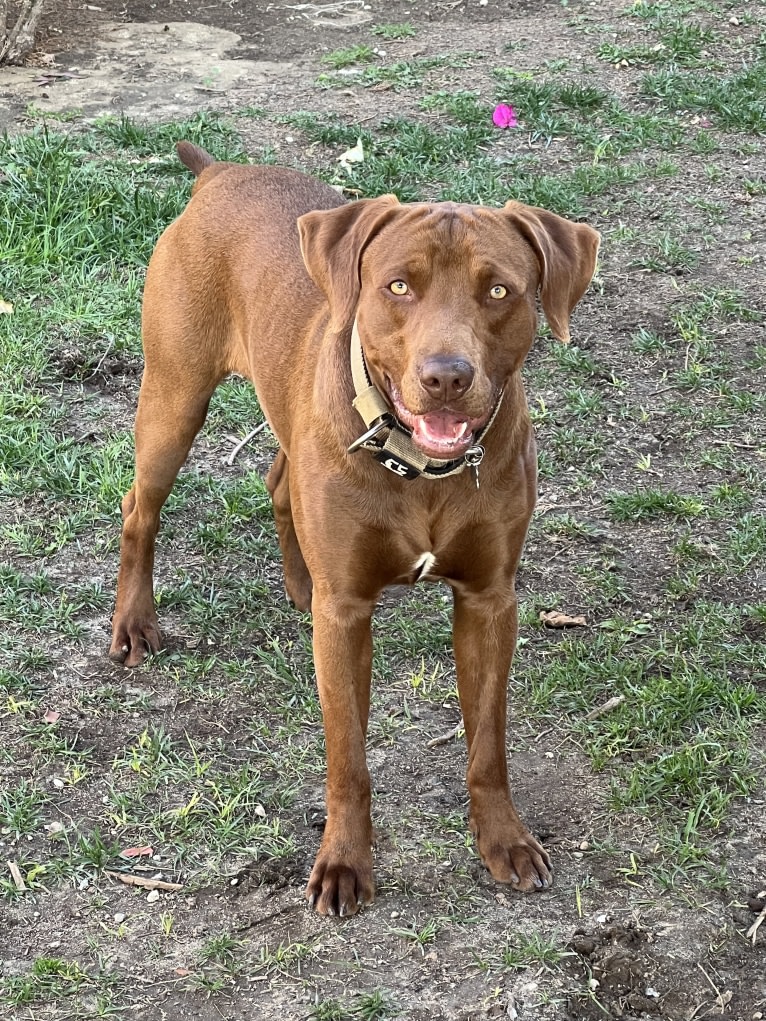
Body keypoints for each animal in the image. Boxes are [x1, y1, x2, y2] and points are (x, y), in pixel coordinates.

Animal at [110, 139, 604, 914]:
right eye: (399, 286)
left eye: (500, 292)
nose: (446, 375)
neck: (422, 469)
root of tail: (220, 172)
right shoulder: (345, 616)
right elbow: (348, 756)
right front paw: (344, 862)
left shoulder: (490, 600)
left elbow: (487, 742)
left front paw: (504, 839)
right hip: (173, 396)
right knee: (141, 508)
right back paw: (134, 623)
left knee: (278, 478)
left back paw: (296, 579)